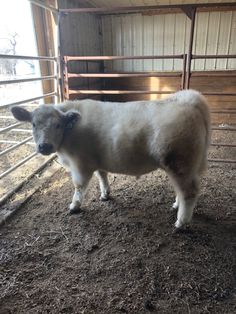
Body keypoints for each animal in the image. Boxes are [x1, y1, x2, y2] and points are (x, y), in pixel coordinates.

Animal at [10, 89, 210, 227]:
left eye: (58, 125)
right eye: (33, 124)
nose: (44, 146)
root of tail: (189, 99)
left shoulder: (80, 164)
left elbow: (79, 186)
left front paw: (75, 206)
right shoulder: (96, 160)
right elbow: (102, 176)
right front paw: (105, 194)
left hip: (179, 162)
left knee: (189, 192)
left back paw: (181, 223)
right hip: (185, 166)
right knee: (182, 190)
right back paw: (176, 205)